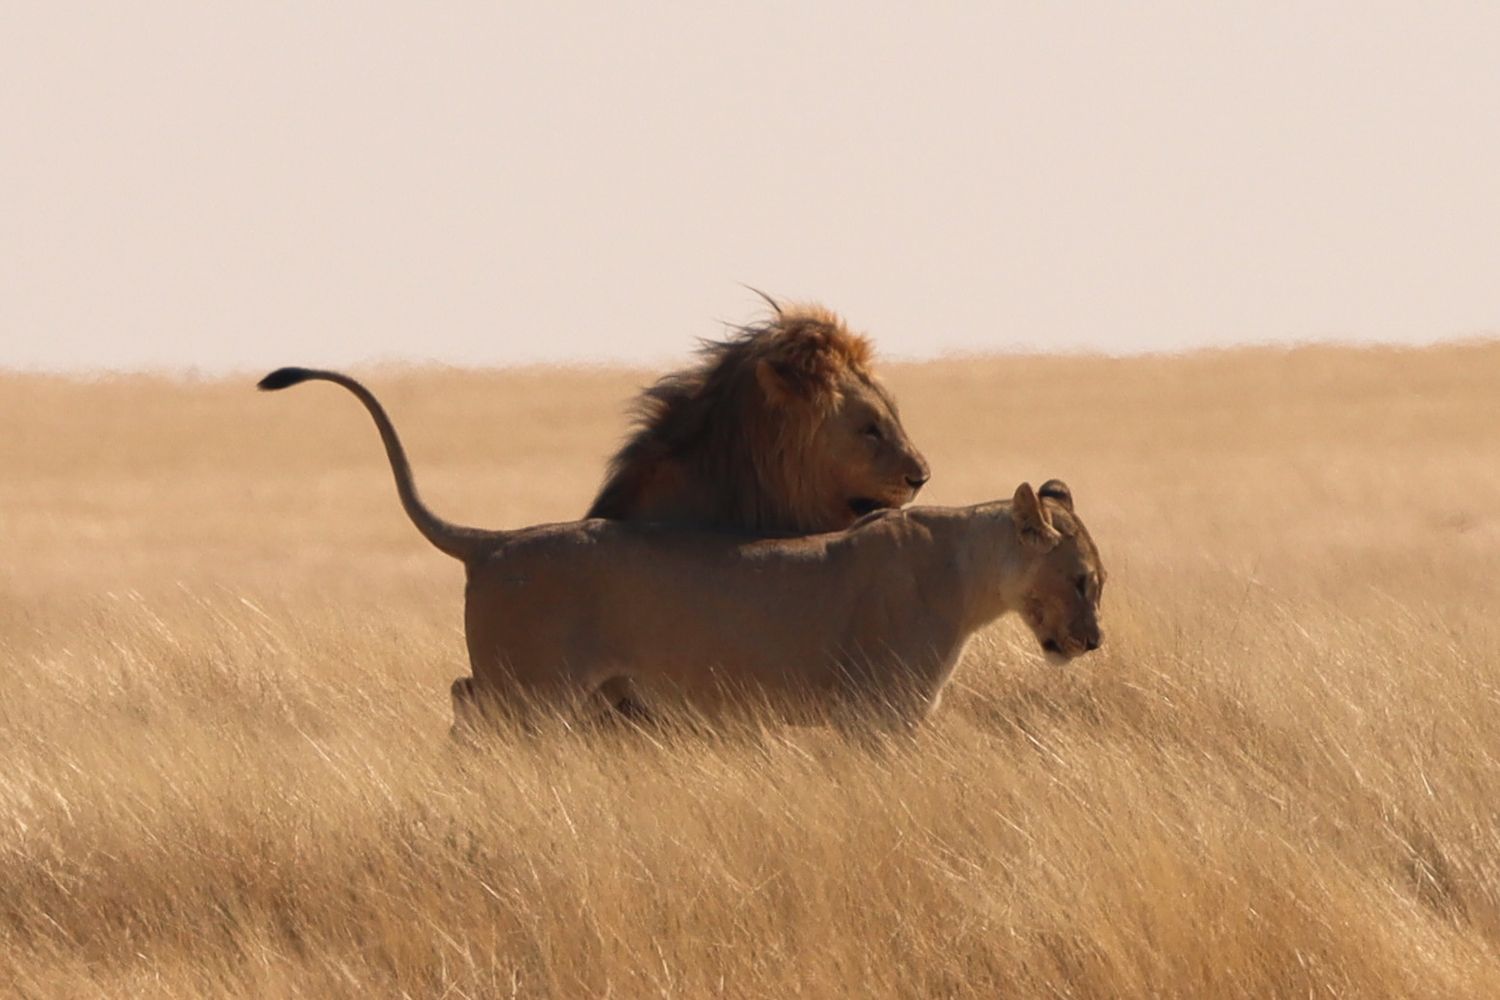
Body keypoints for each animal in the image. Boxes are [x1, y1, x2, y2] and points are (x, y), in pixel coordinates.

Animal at [258, 368, 1104, 732]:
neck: (968, 567)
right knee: (473, 712)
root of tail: (494, 544)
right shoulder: (877, 718)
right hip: (529, 691)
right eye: (1086, 580)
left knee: (462, 696)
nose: (1095, 641)